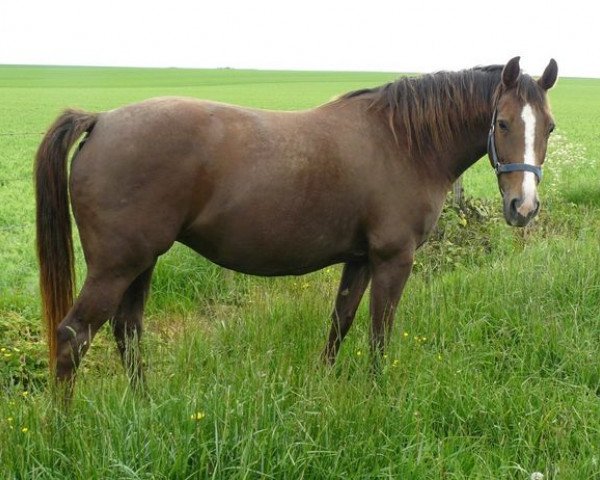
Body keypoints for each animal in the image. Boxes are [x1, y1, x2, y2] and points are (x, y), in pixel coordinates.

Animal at [34, 57, 556, 394]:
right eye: (503, 123)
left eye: (548, 127)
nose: (524, 207)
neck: (404, 143)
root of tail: (101, 121)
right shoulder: (393, 258)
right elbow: (378, 333)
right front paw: (377, 396)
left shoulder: (360, 259)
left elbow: (341, 322)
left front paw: (322, 386)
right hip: (117, 266)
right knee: (73, 337)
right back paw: (64, 430)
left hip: (141, 262)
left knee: (127, 331)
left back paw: (144, 404)